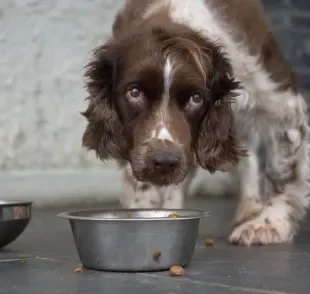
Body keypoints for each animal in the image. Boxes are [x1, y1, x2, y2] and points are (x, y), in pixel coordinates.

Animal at [81, 0, 310, 246]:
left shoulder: (280, 101)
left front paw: (270, 223)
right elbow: (145, 183)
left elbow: (284, 172)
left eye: (196, 98)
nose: (165, 161)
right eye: (134, 92)